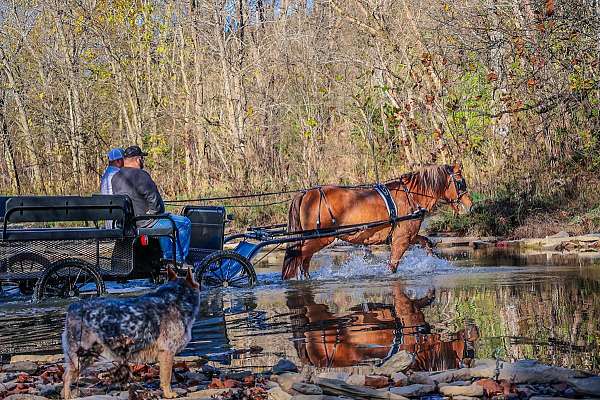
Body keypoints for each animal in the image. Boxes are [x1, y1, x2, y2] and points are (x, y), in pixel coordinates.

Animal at [62, 268, 200, 398]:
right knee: (66, 377)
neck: (175, 298)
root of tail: (72, 308)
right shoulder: (167, 352)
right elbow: (167, 378)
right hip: (81, 357)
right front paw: (168, 394)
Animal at [282, 164, 474, 280]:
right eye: (460, 182)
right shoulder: (401, 240)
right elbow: (392, 266)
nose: (470, 206)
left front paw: (431, 262)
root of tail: (306, 193)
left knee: (303, 261)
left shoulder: (408, 236)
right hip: (320, 238)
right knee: (297, 256)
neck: (411, 196)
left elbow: (426, 242)